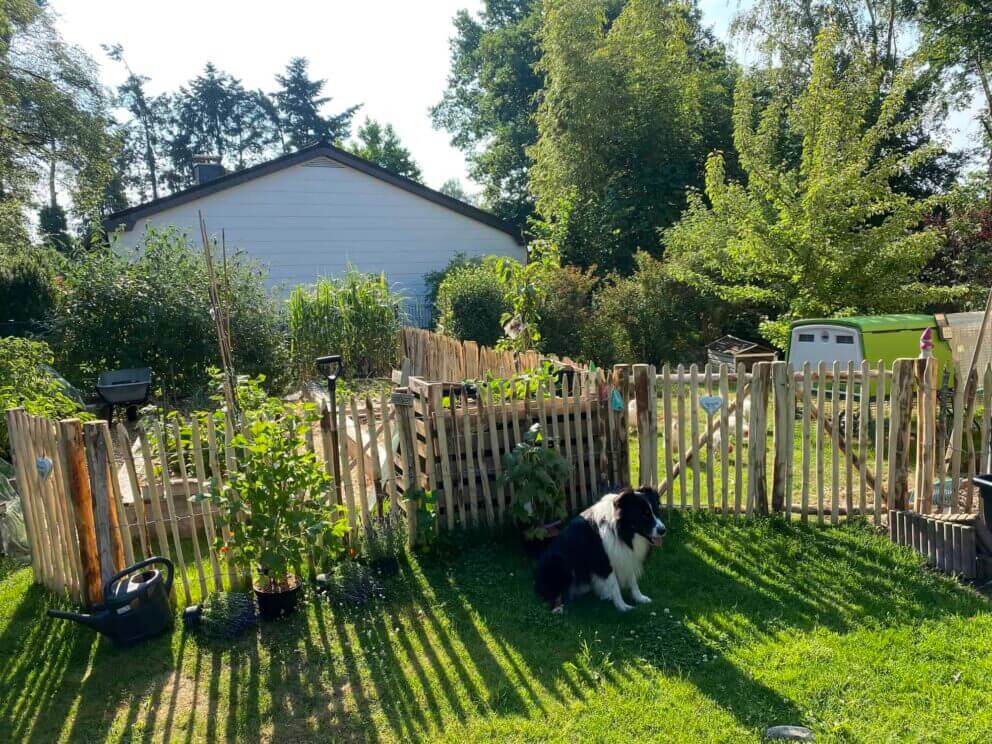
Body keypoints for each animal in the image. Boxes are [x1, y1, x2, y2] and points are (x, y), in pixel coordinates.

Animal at [536, 486, 668, 612]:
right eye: (644, 514)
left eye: (656, 511)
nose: (663, 530)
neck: (622, 531)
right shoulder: (604, 563)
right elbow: (615, 586)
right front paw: (623, 607)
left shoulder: (625, 555)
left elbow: (632, 581)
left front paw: (640, 598)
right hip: (559, 564)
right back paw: (557, 607)